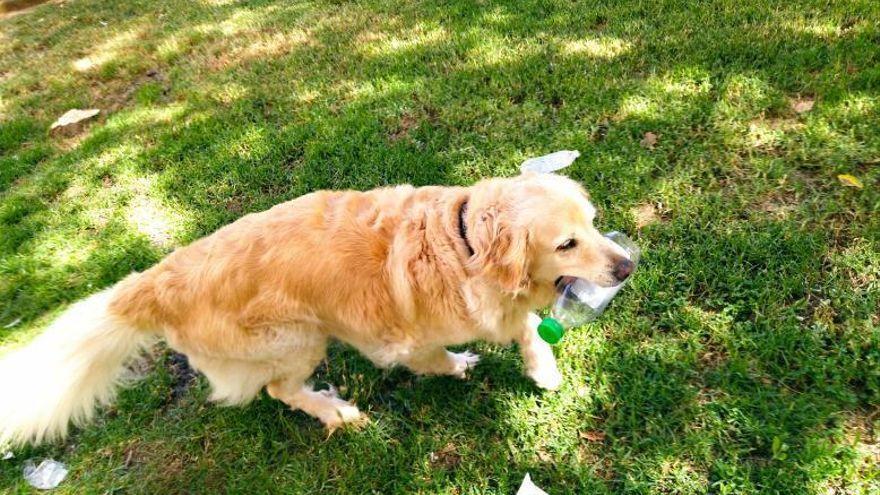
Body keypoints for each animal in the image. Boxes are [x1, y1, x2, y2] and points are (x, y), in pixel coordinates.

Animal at [0, 172, 632, 448]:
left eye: (593, 223)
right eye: (566, 243)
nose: (627, 266)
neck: (463, 245)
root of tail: (153, 282)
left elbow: (528, 327)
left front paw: (542, 367)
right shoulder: (404, 338)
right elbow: (436, 357)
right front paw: (459, 366)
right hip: (298, 338)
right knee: (280, 389)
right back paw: (335, 412)